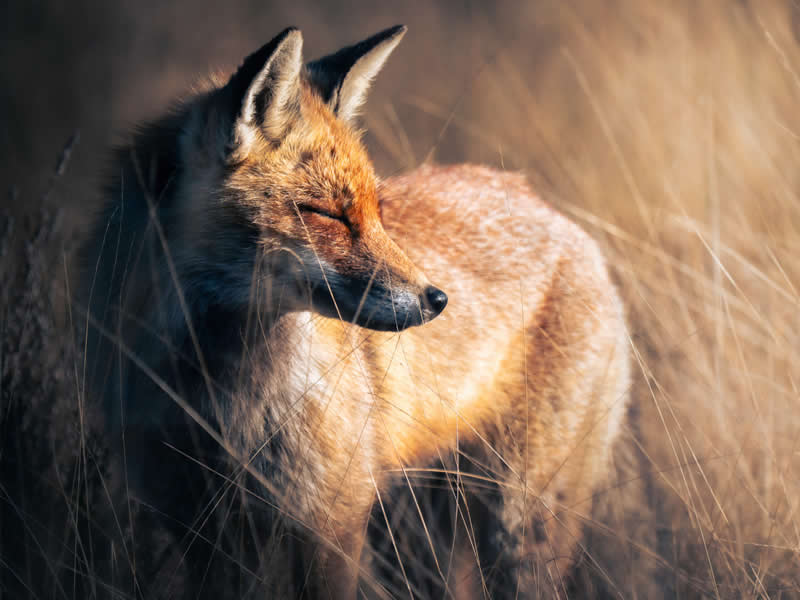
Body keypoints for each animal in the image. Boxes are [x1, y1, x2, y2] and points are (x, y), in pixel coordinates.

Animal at [81, 25, 633, 599]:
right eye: (329, 215)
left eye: (377, 212)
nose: (437, 300)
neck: (217, 391)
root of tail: (555, 213)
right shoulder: (196, 527)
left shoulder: (330, 519)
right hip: (416, 537)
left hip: (517, 522)